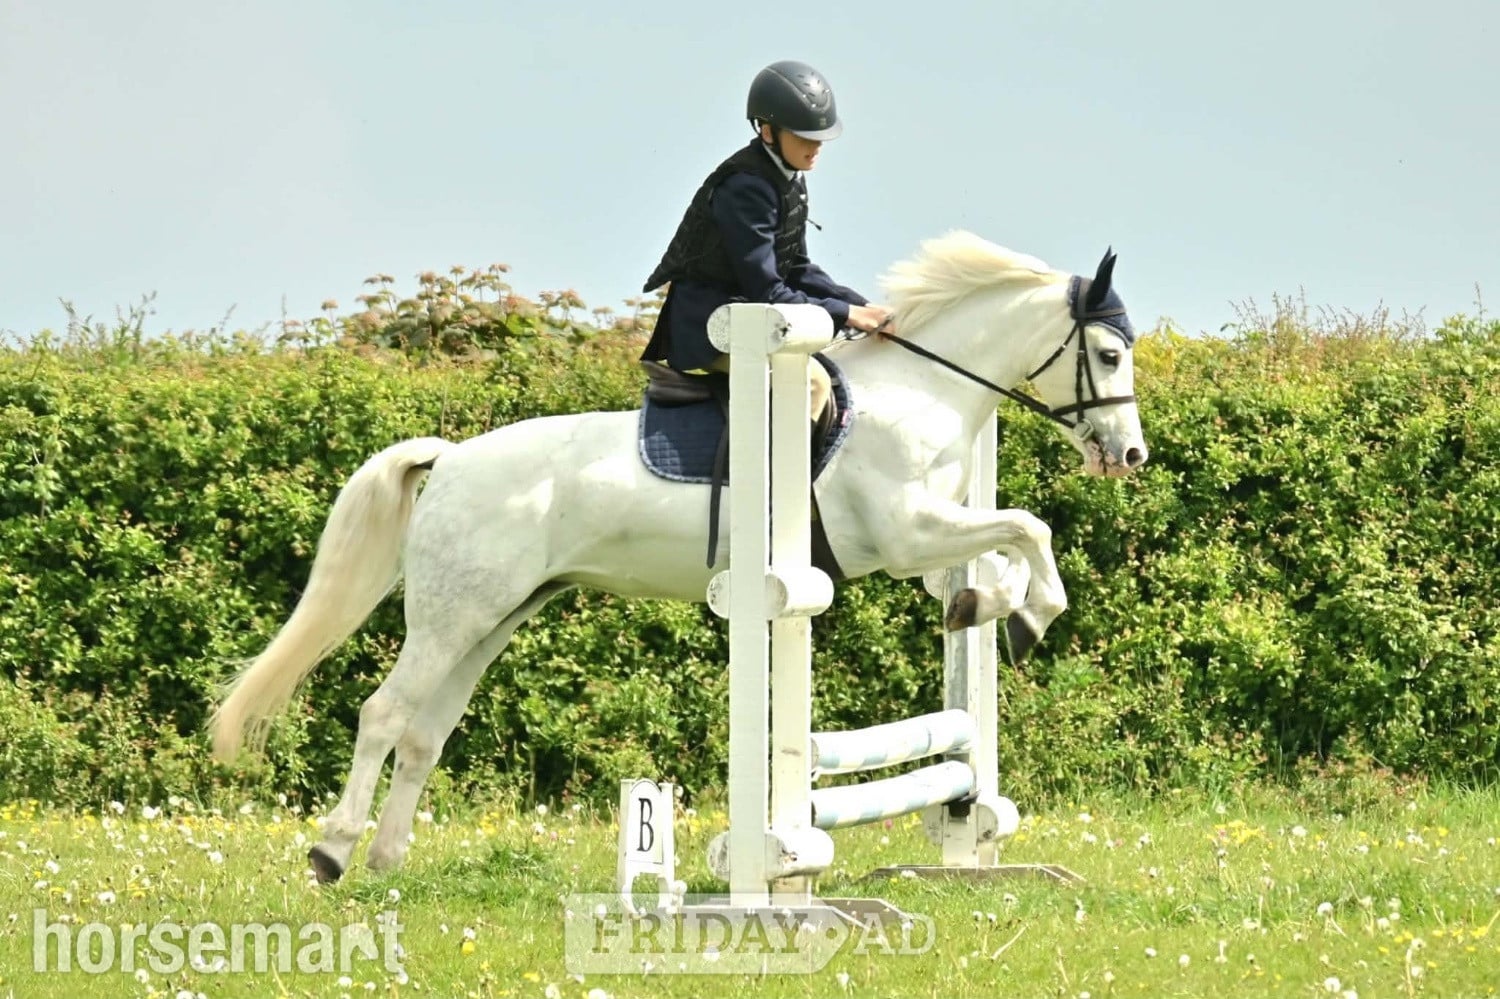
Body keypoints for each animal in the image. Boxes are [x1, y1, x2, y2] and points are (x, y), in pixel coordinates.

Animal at [207, 230, 1149, 884]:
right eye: (1108, 353)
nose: (1131, 456)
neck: (921, 392)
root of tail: (449, 459)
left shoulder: (932, 540)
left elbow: (1007, 545)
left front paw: (997, 610)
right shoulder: (909, 529)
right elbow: (1030, 525)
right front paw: (1025, 614)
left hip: (493, 616)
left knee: (426, 731)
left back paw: (387, 860)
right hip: (450, 614)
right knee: (384, 713)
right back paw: (332, 852)